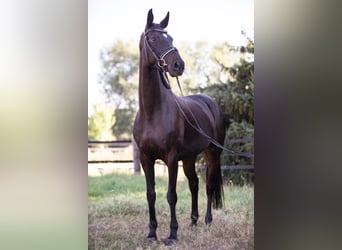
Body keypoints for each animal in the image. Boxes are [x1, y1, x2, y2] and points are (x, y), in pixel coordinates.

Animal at [134, 8, 227, 245]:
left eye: (171, 39)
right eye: (153, 39)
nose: (178, 65)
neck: (152, 112)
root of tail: (211, 103)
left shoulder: (171, 157)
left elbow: (171, 195)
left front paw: (172, 235)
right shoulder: (146, 158)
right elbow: (151, 194)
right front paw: (152, 234)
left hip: (212, 153)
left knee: (208, 185)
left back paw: (207, 220)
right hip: (189, 157)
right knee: (194, 183)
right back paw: (193, 221)